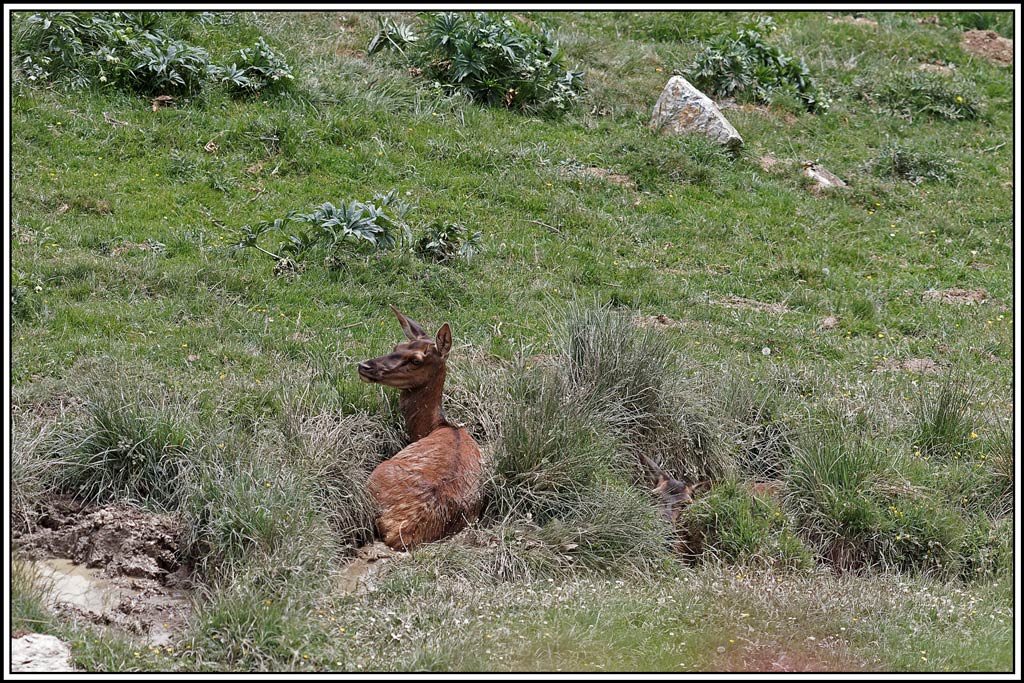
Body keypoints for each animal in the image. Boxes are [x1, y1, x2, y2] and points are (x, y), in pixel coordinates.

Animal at [356, 306, 483, 551]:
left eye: (415, 360)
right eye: (396, 346)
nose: (364, 366)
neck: (435, 427)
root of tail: (402, 530)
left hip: (376, 476)